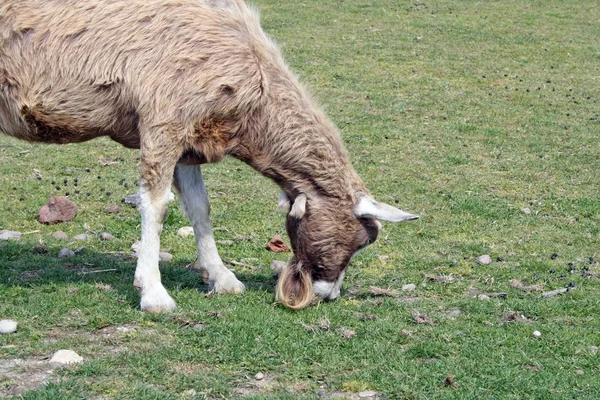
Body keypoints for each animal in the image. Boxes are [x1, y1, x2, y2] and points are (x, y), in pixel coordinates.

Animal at [0, 0, 420, 310]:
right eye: (360, 239)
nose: (327, 294)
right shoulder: (163, 121)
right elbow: (156, 206)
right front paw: (154, 293)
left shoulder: (190, 141)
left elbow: (199, 207)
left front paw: (221, 278)